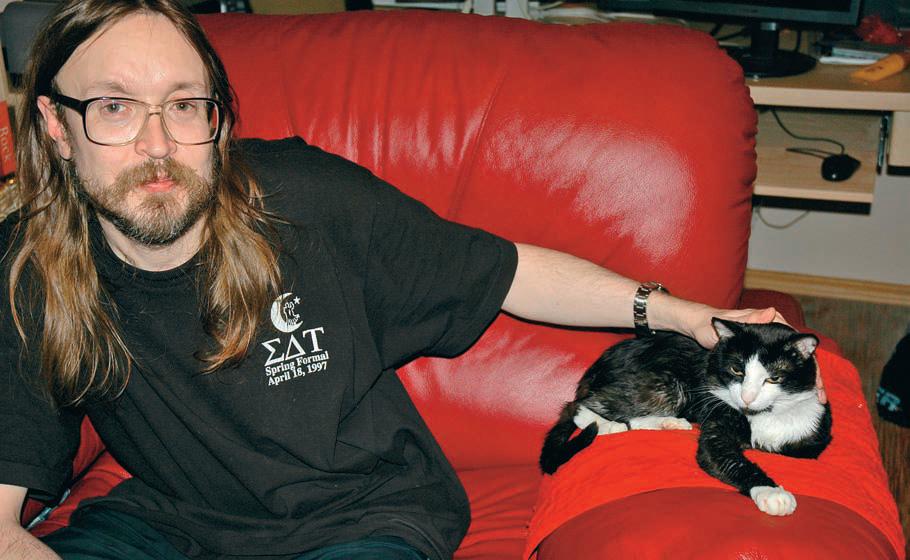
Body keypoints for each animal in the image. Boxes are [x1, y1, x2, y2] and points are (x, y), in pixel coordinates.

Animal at [539, 318, 832, 516]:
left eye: (774, 378)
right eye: (737, 370)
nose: (747, 398)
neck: (764, 414)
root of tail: (594, 370)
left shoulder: (813, 431)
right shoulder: (717, 420)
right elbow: (730, 458)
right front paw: (772, 493)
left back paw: (668, 422)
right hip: (667, 382)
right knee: (578, 406)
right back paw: (609, 425)